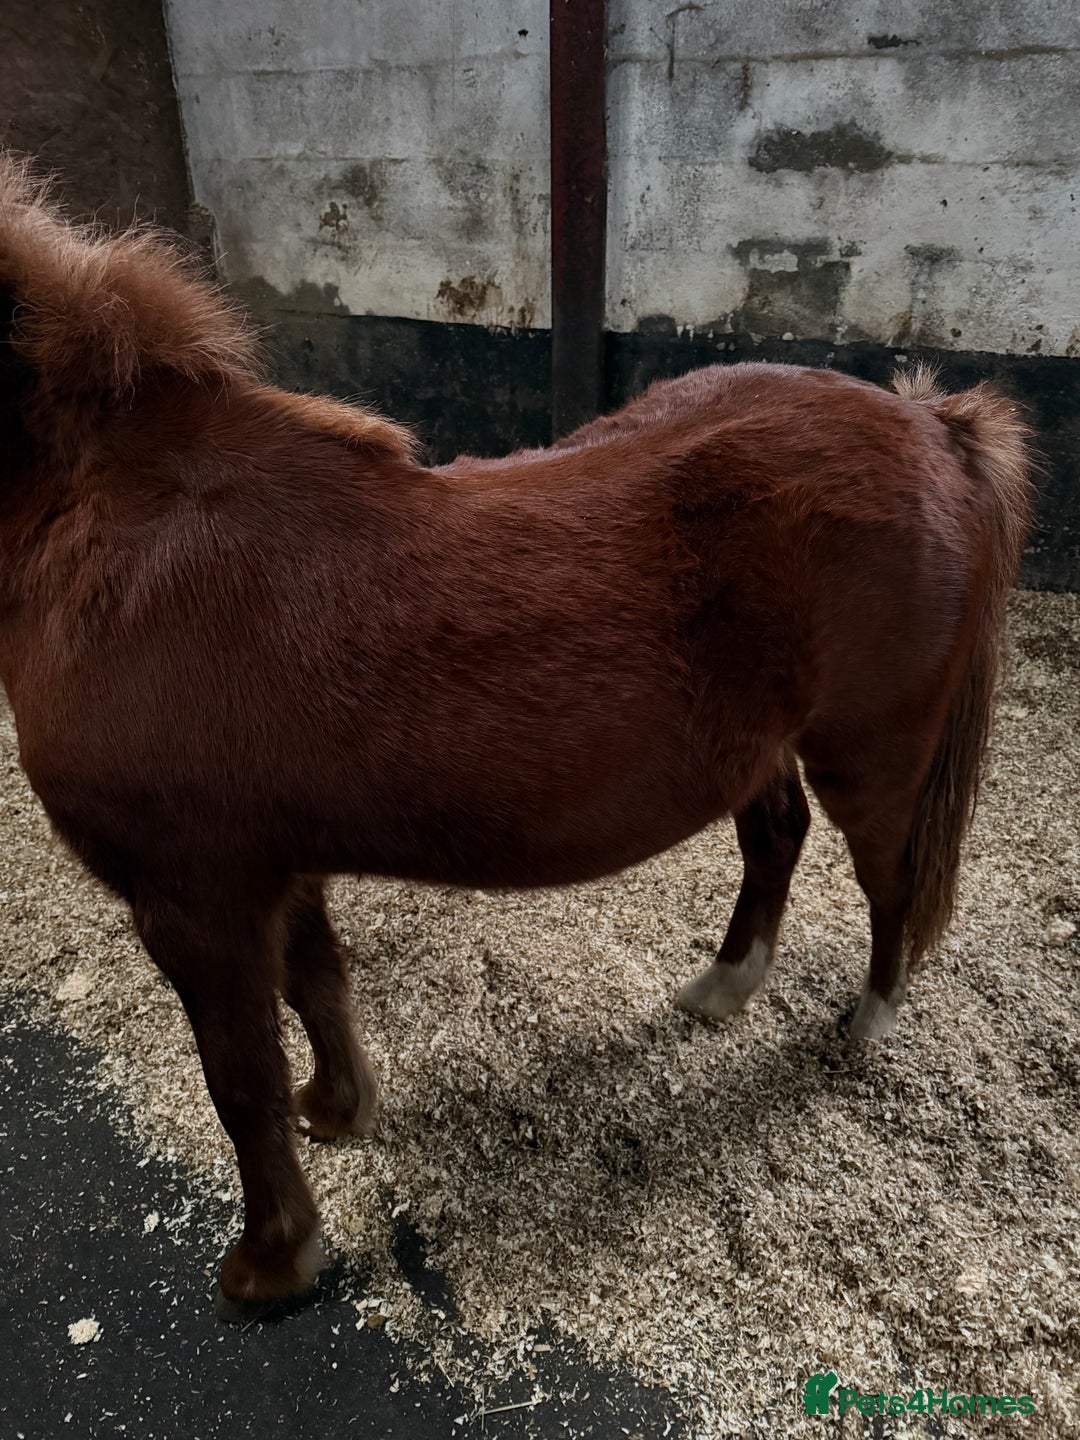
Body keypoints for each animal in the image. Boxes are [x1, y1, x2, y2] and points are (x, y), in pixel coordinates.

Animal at [0, 153, 1032, 1321]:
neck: (115, 531)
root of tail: (934, 425)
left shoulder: (194, 898)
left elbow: (239, 1083)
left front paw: (271, 1259)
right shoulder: (271, 866)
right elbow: (315, 986)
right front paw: (339, 1107)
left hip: (875, 750)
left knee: (888, 877)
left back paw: (867, 1023)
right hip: (759, 746)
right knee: (777, 836)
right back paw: (724, 988)